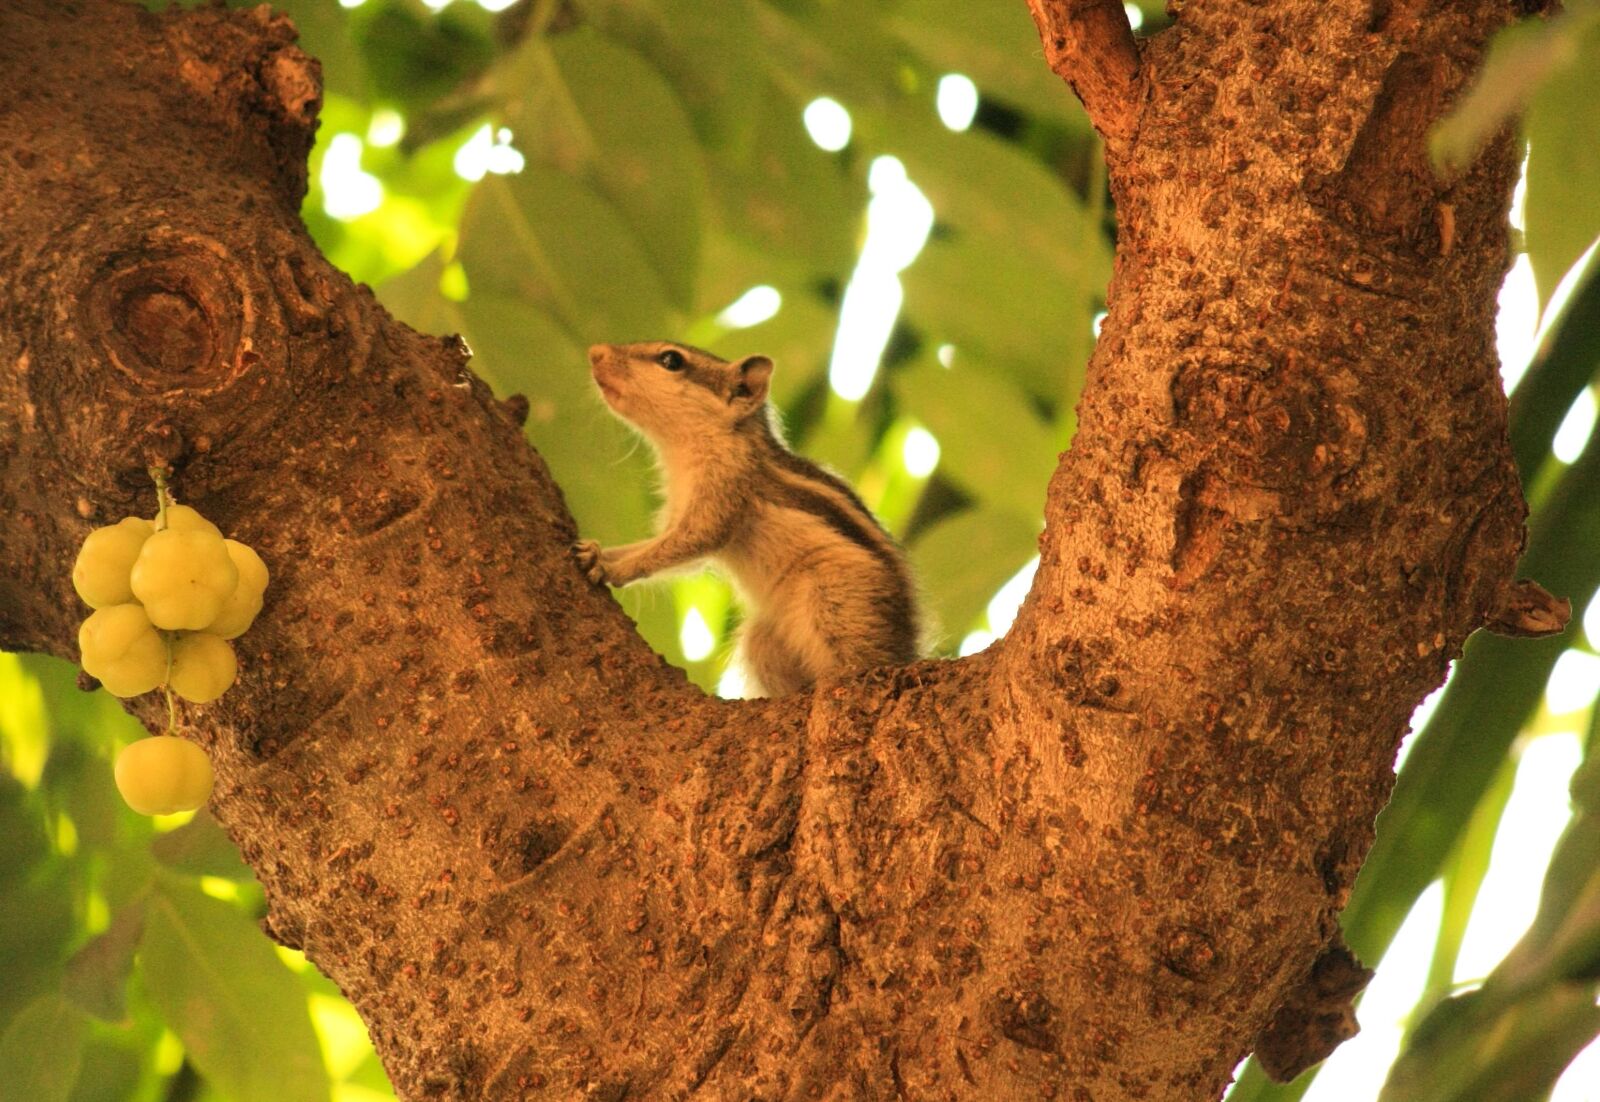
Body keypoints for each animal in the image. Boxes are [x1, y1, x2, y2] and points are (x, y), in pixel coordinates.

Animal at [573, 341, 920, 697]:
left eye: (671, 360)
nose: (596, 351)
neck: (683, 449)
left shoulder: (723, 493)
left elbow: (688, 543)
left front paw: (610, 568)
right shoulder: (678, 510)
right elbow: (664, 549)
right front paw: (596, 550)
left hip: (838, 601)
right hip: (764, 641)